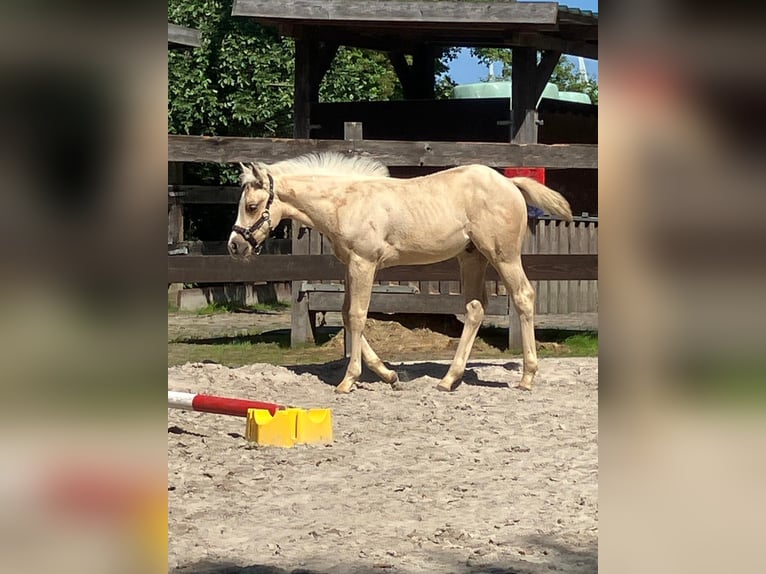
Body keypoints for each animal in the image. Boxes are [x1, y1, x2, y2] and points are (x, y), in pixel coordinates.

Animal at [228, 152, 573, 393]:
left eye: (253, 206)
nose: (234, 246)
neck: (347, 202)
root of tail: (510, 183)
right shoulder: (350, 266)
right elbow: (347, 314)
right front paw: (390, 375)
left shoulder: (364, 263)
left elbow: (357, 315)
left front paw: (348, 381)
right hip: (472, 257)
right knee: (475, 308)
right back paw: (448, 380)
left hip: (503, 256)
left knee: (523, 296)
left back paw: (527, 377)